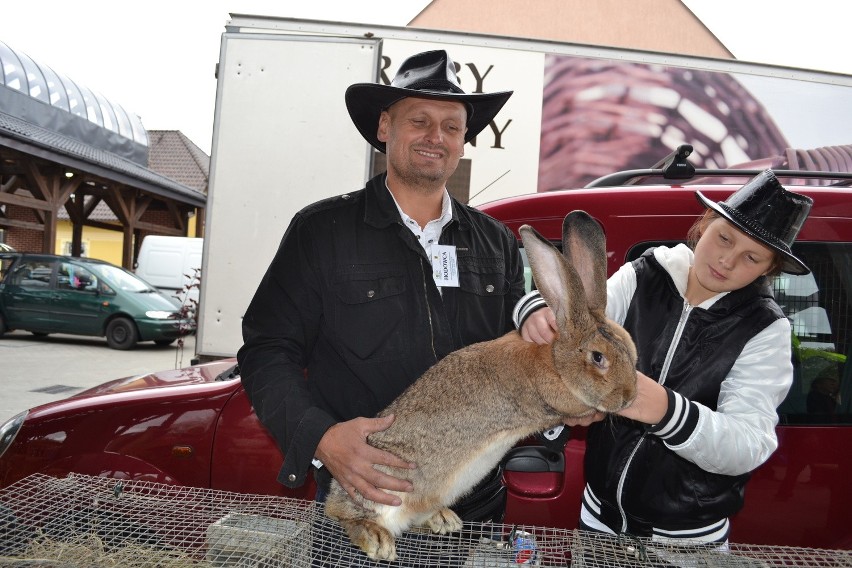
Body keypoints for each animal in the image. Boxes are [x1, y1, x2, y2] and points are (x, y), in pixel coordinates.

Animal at [326, 210, 640, 560]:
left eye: (630, 350)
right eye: (598, 358)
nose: (629, 396)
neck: (554, 360)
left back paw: (443, 520)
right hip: (382, 486)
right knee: (345, 515)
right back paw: (377, 540)